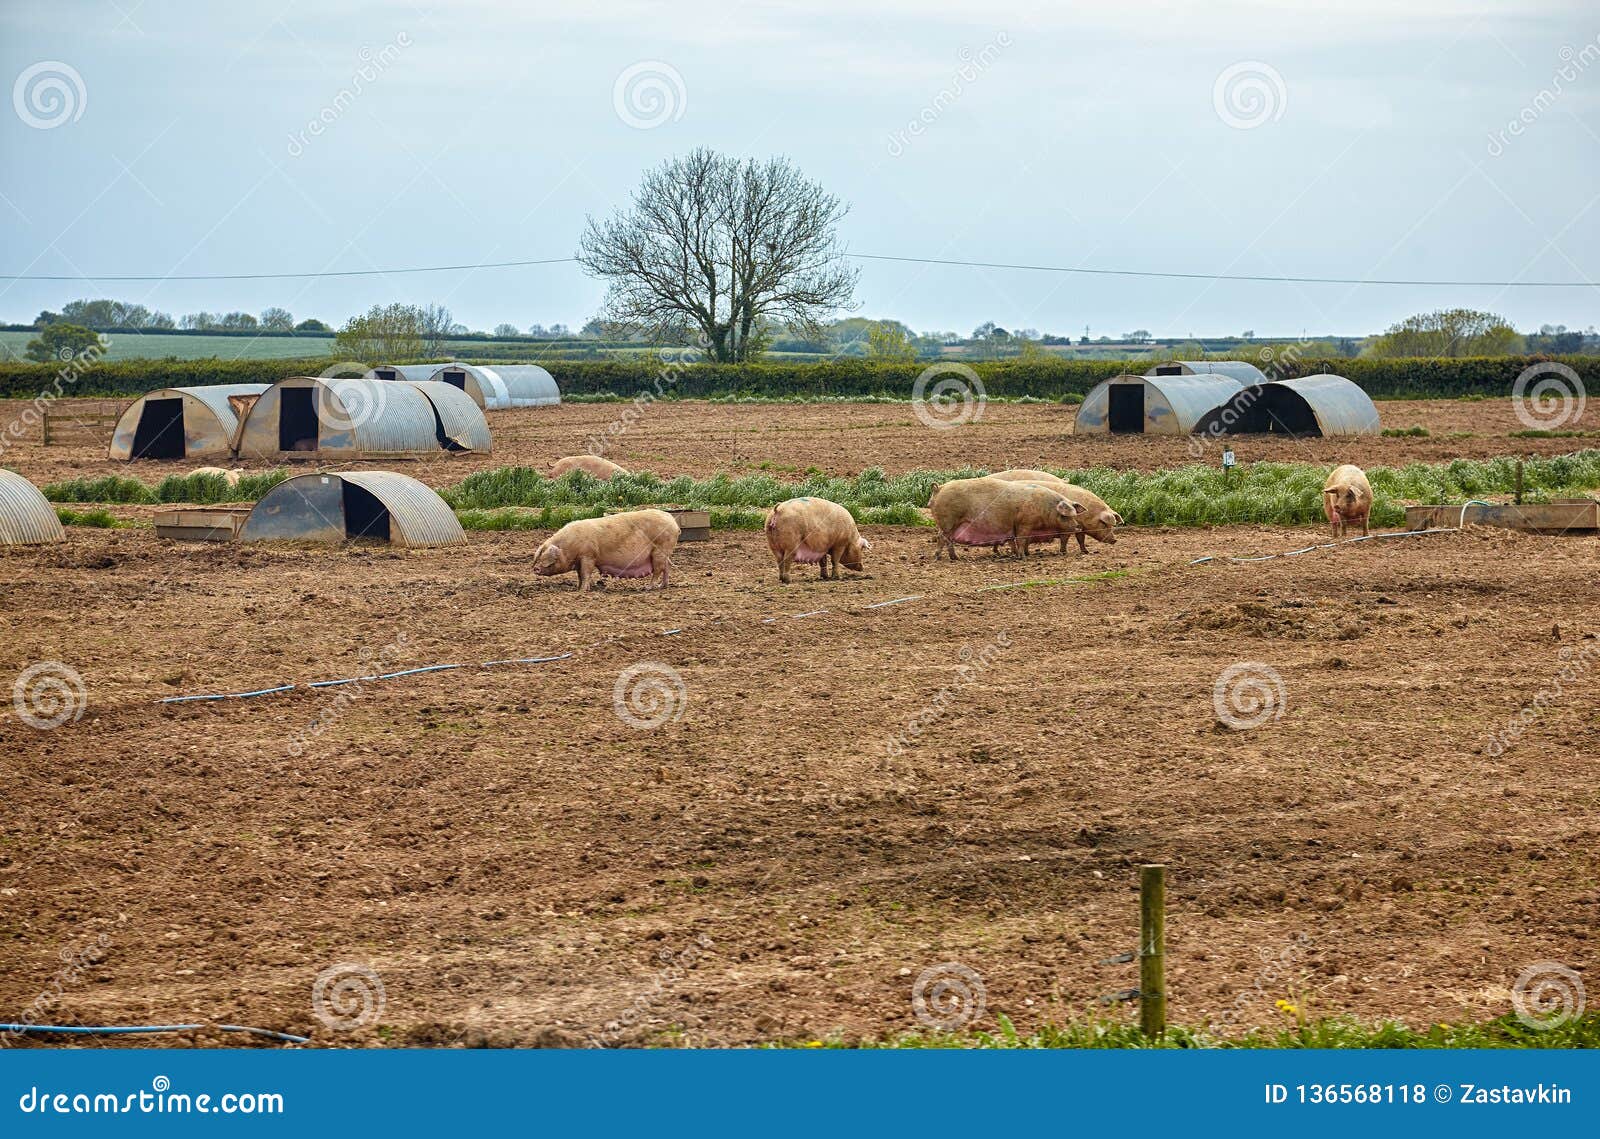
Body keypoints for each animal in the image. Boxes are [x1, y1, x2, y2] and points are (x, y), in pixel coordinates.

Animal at [528, 508, 672, 591]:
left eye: (546, 558)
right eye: (539, 555)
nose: (536, 569)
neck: (568, 547)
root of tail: (672, 520)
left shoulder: (588, 555)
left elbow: (586, 573)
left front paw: (583, 591)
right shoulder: (580, 560)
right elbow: (580, 575)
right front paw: (578, 588)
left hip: (659, 549)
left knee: (658, 570)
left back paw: (648, 587)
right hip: (663, 553)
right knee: (666, 568)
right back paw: (662, 586)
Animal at [921, 473, 1081, 559]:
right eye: (1066, 515)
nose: (1077, 526)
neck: (1045, 508)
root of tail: (939, 489)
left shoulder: (1013, 527)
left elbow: (1014, 541)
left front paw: (1016, 555)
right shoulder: (1024, 524)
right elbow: (1021, 540)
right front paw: (1022, 557)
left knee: (947, 540)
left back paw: (954, 558)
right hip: (948, 521)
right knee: (942, 538)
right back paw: (941, 557)